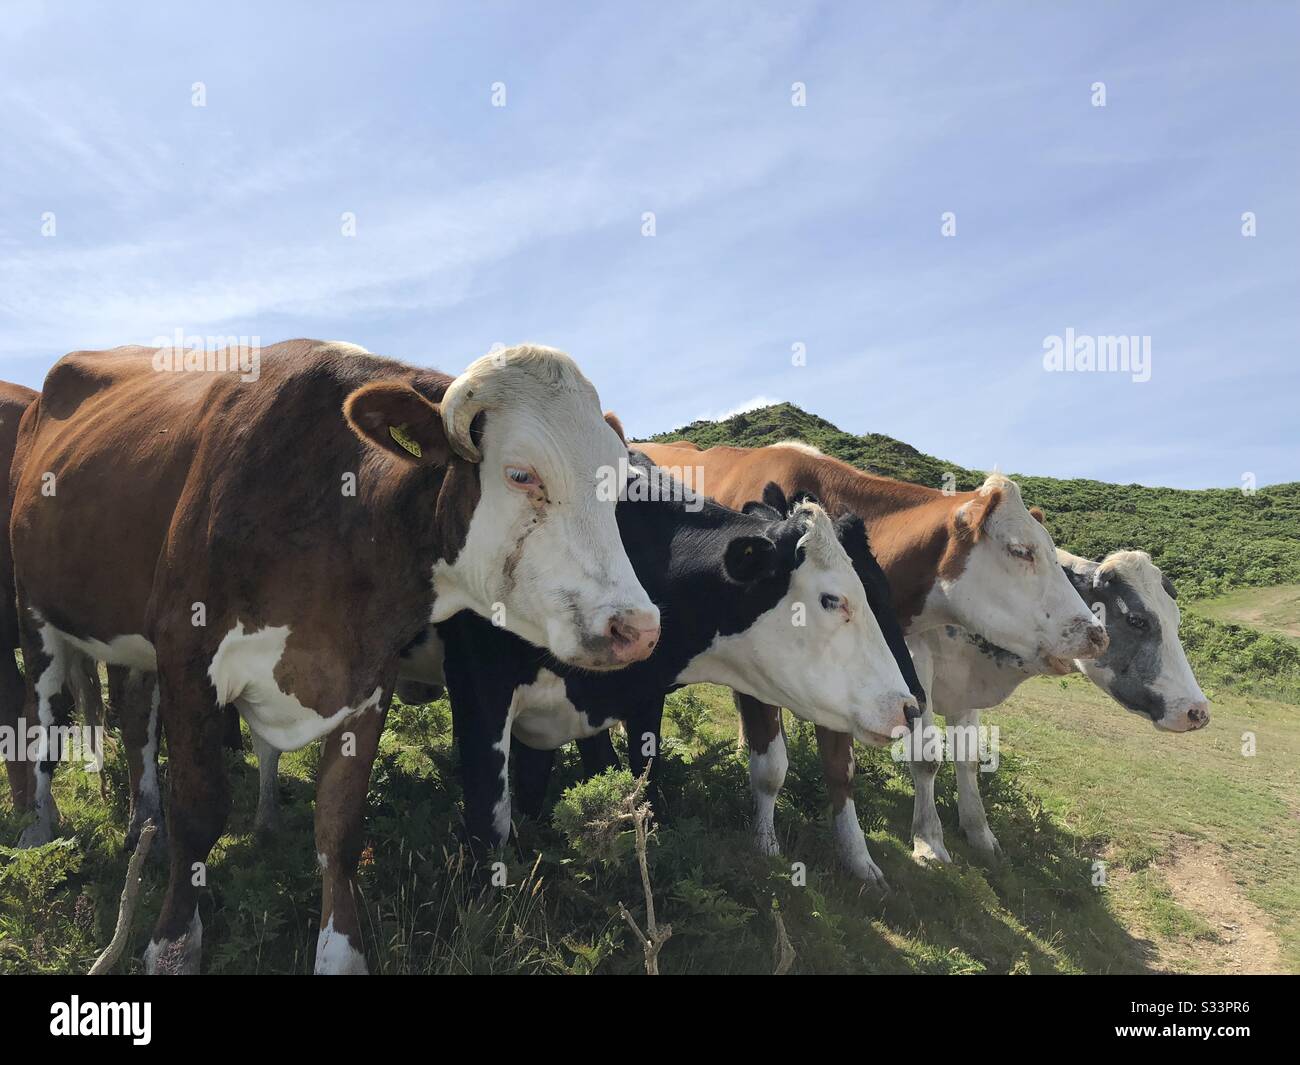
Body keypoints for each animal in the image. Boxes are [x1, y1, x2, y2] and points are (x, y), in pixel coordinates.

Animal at [8, 339, 660, 974]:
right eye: (521, 473)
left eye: (615, 485)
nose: (638, 626)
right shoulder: (188, 657)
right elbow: (199, 812)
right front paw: (171, 945)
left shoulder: (368, 678)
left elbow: (339, 824)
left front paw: (340, 952)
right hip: (34, 615)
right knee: (42, 718)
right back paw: (39, 833)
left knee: (135, 716)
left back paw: (145, 823)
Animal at [635, 439, 1108, 885]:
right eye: (1021, 551)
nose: (1096, 633)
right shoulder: (759, 676)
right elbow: (771, 768)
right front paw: (765, 845)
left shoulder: (850, 686)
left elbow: (841, 771)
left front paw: (858, 857)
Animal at [905, 545, 1209, 863]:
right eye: (1137, 620)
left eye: (1176, 620)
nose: (1198, 711)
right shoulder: (915, 660)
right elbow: (926, 759)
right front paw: (929, 842)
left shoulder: (965, 686)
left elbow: (968, 758)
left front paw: (979, 833)